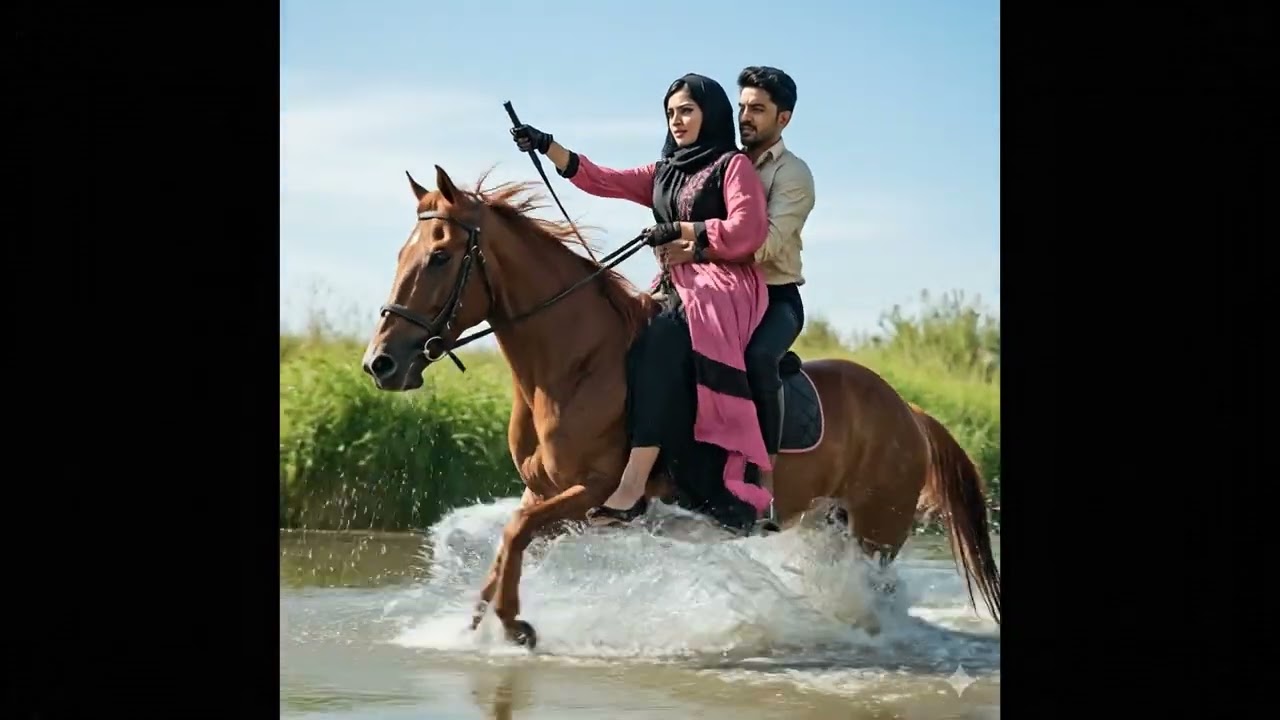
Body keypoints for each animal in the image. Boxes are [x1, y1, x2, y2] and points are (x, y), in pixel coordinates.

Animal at [360, 164, 1001, 649]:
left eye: (440, 258)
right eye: (402, 252)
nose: (381, 363)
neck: (574, 365)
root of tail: (909, 410)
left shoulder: (593, 492)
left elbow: (514, 534)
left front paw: (516, 627)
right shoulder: (546, 493)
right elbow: (503, 550)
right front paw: (477, 627)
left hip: (877, 530)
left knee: (879, 598)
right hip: (831, 525)